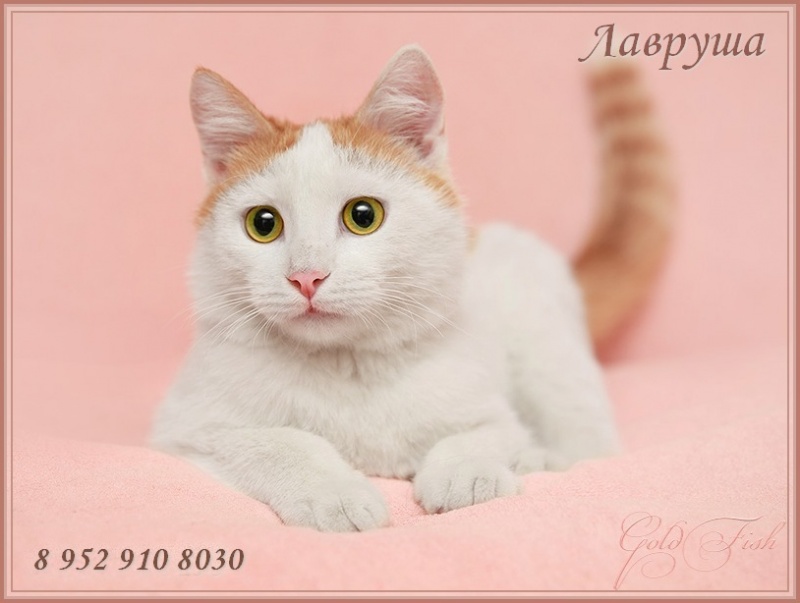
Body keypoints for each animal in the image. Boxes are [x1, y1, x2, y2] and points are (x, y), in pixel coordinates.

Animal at [151, 45, 673, 532]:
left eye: (363, 215)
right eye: (263, 224)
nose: (307, 276)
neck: (350, 370)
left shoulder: (490, 408)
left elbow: (485, 433)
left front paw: (468, 473)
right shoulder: (184, 430)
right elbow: (278, 442)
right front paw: (334, 495)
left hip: (552, 361)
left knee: (588, 444)